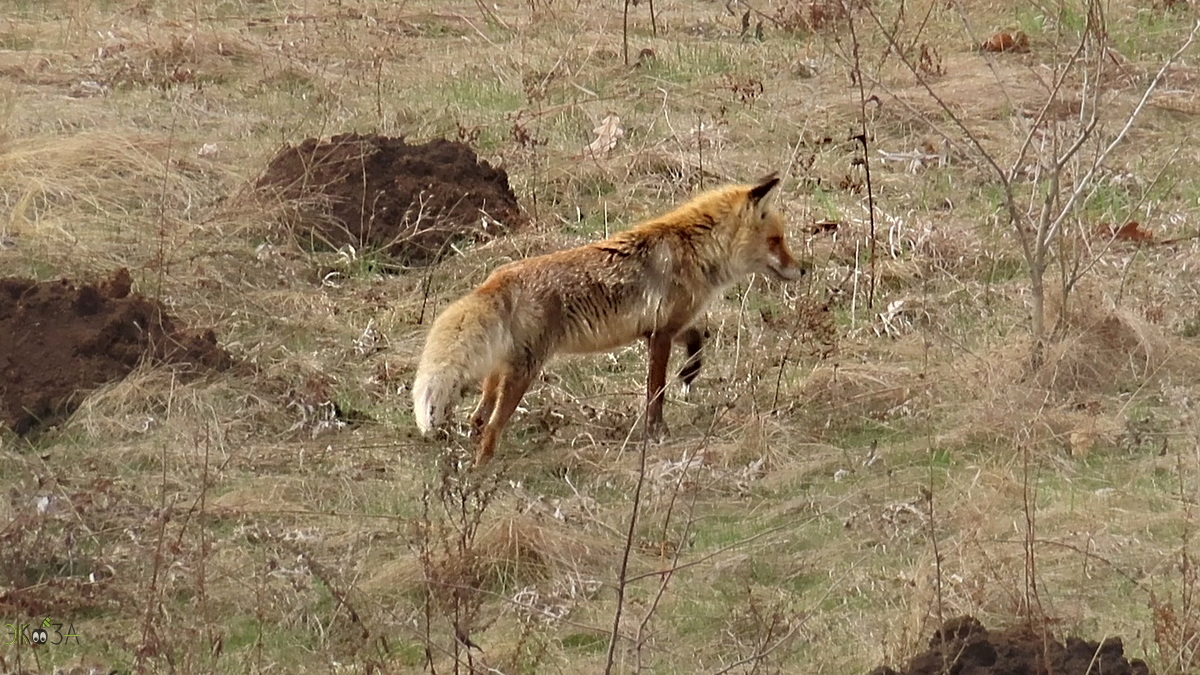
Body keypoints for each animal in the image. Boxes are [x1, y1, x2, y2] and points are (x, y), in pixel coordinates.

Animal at [410, 174, 806, 461]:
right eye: (776, 240)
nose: (802, 270)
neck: (694, 249)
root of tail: (496, 277)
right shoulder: (661, 334)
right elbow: (655, 393)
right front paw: (657, 433)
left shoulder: (661, 327)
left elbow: (696, 339)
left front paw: (689, 374)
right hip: (524, 373)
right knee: (491, 427)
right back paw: (481, 473)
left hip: (502, 372)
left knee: (478, 419)